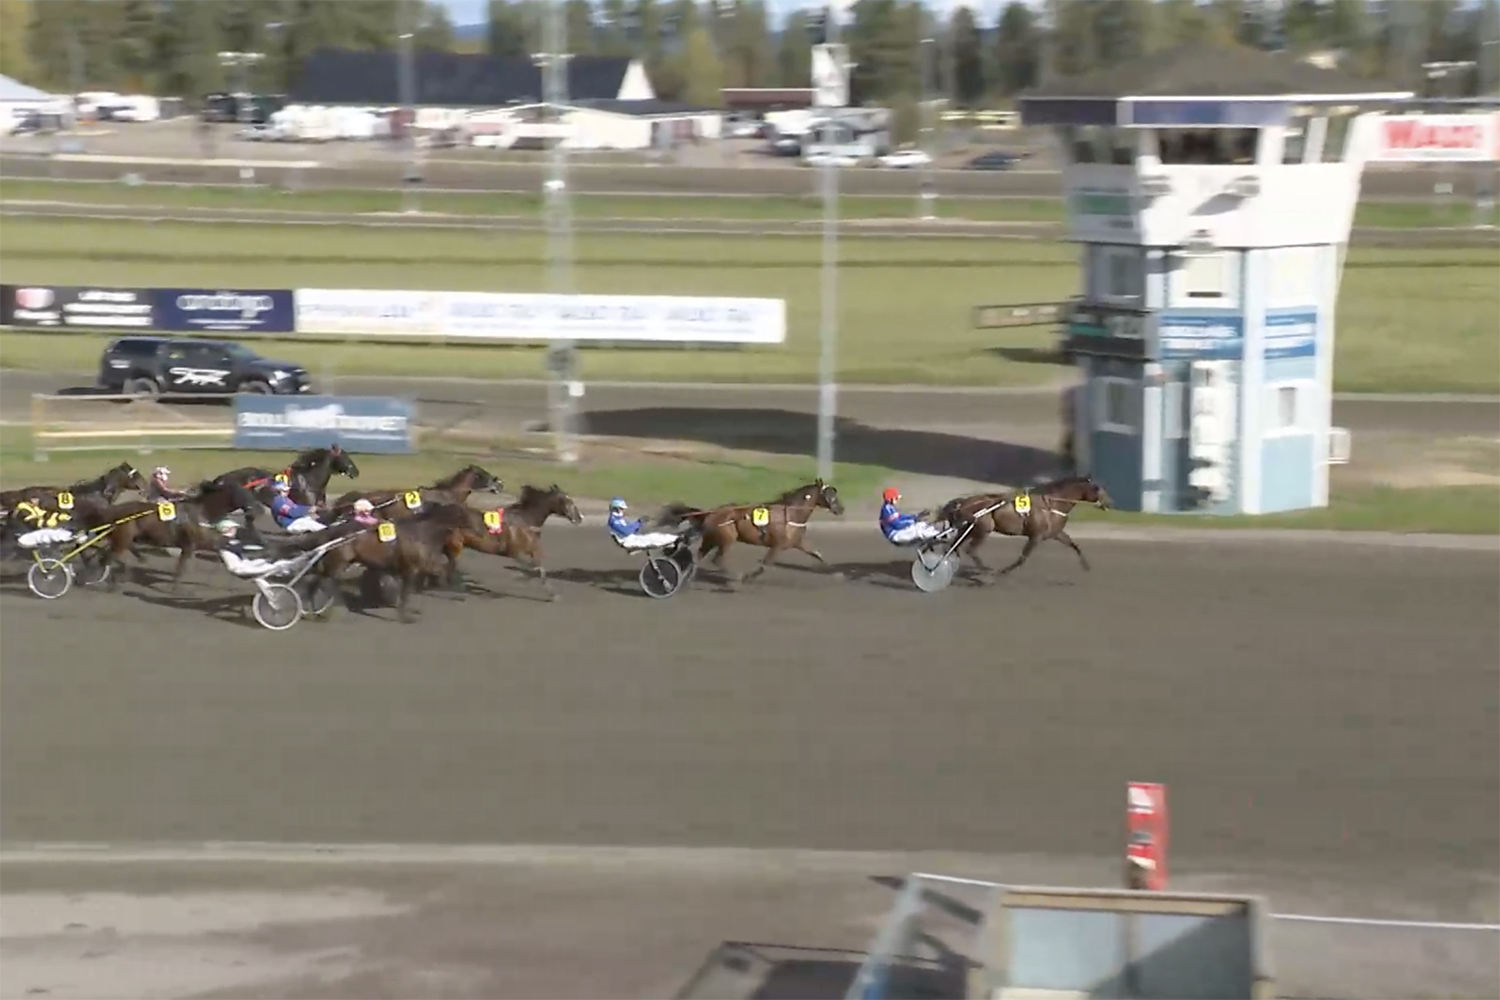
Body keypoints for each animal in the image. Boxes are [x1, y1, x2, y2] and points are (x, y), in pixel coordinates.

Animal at [660, 479, 840, 587]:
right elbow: (765, 564)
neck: (790, 514)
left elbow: (816, 553)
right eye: (829, 494)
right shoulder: (778, 545)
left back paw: (689, 579)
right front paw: (748, 577)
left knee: (698, 557)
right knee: (718, 559)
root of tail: (711, 513)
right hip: (727, 539)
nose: (841, 508)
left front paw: (837, 573)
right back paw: (735, 578)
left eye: (834, 493)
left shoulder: (798, 542)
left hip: (711, 539)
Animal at [936, 476, 1116, 581]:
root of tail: (964, 503)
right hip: (982, 529)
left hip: (968, 529)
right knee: (970, 550)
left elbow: (1074, 545)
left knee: (955, 547)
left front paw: (1086, 566)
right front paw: (1001, 572)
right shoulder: (1035, 536)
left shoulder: (1055, 533)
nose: (1110, 503)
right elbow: (1022, 558)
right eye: (1099, 489)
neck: (1052, 505)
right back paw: (987, 571)